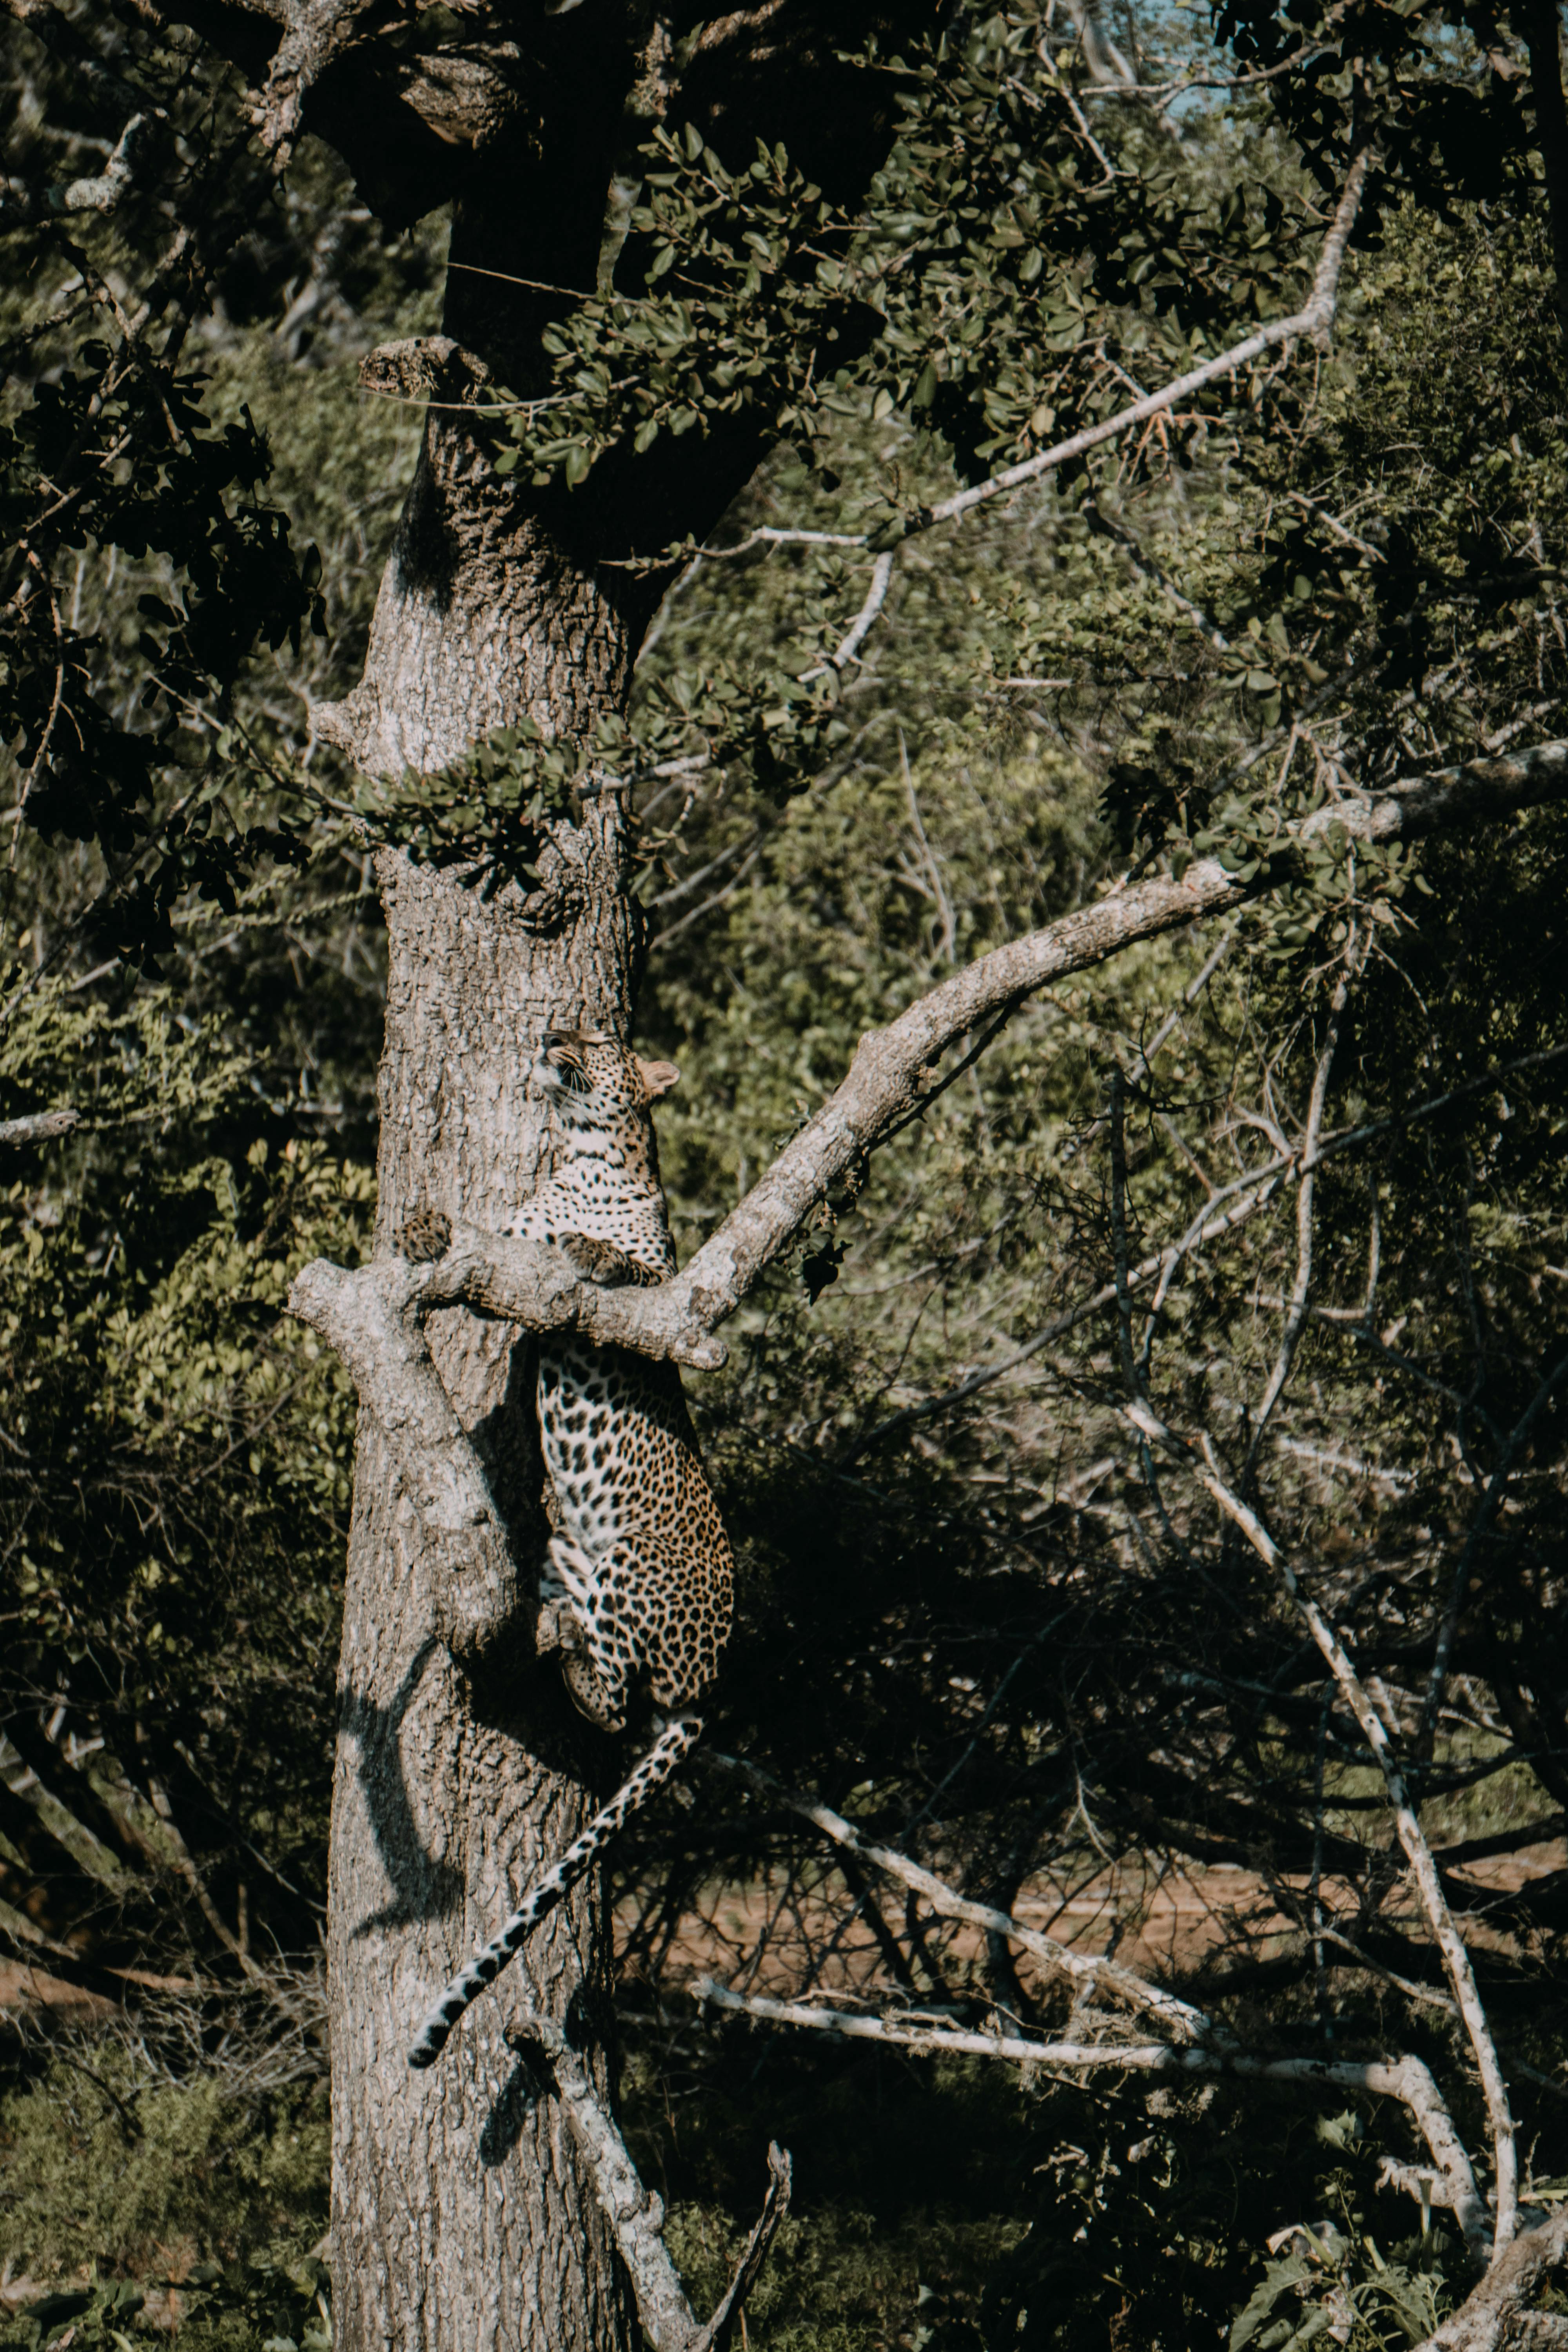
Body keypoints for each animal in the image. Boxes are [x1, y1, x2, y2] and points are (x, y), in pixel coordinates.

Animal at [409, 1025, 733, 2060]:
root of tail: (710, 1685)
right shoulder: (510, 1243)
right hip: (569, 1560)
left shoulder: (664, 1295)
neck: (582, 1158)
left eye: (601, 1038)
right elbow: (495, 1240)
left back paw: (574, 1663)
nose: (553, 1032)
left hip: (632, 1565)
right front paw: (429, 1231)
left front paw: (590, 1245)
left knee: (625, 1697)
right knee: (604, 1683)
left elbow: (617, 1263)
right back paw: (556, 1639)